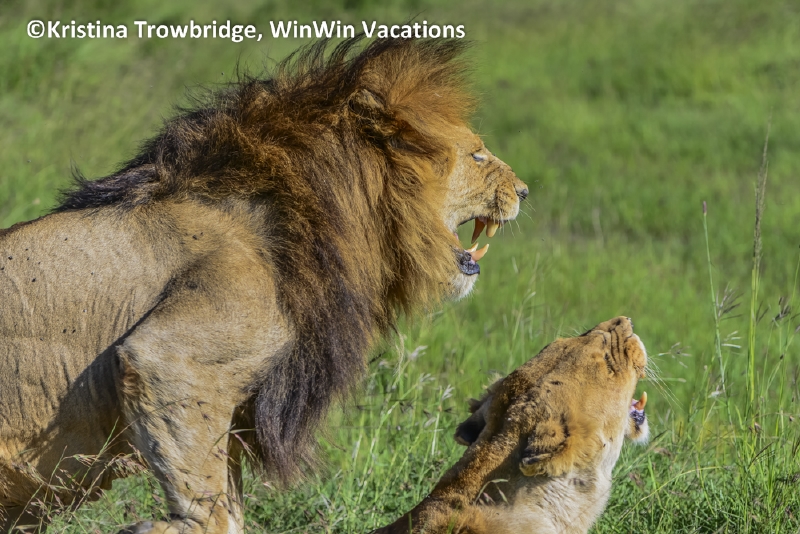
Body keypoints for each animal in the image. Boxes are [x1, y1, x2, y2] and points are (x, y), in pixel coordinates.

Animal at [0, 37, 528, 533]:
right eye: (478, 154)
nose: (524, 190)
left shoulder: (229, 411)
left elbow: (229, 509)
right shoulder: (170, 360)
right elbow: (211, 511)